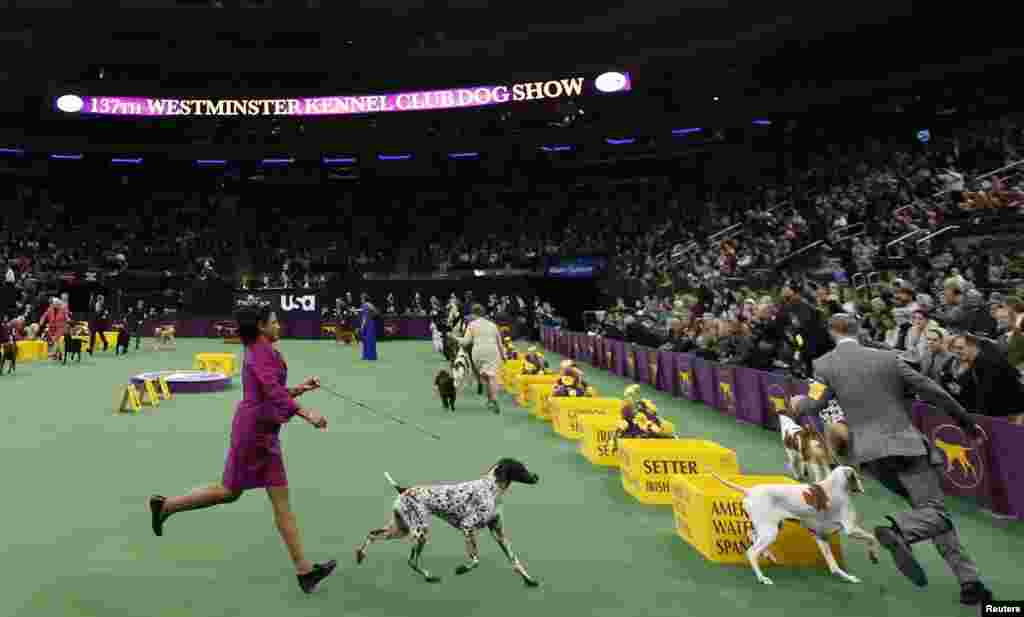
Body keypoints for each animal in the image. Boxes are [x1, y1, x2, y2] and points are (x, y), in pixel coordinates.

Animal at [356, 460, 540, 585]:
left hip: (401, 529)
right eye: (521, 468)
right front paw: (462, 569)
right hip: (420, 533)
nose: (537, 477)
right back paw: (429, 577)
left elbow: (514, 560)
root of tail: (404, 490)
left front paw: (529, 580)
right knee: (412, 561)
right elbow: (475, 559)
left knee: (372, 534)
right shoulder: (468, 527)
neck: (491, 489)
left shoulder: (498, 533)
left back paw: (360, 555)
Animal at [712, 468, 880, 589]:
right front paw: (873, 556)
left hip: (770, 527)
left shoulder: (821, 537)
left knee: (751, 535)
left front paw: (848, 577)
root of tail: (750, 491)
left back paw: (769, 555)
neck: (834, 485)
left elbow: (834, 566)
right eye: (856, 477)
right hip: (770, 533)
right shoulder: (850, 529)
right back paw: (762, 578)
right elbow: (872, 538)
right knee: (752, 552)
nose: (862, 484)